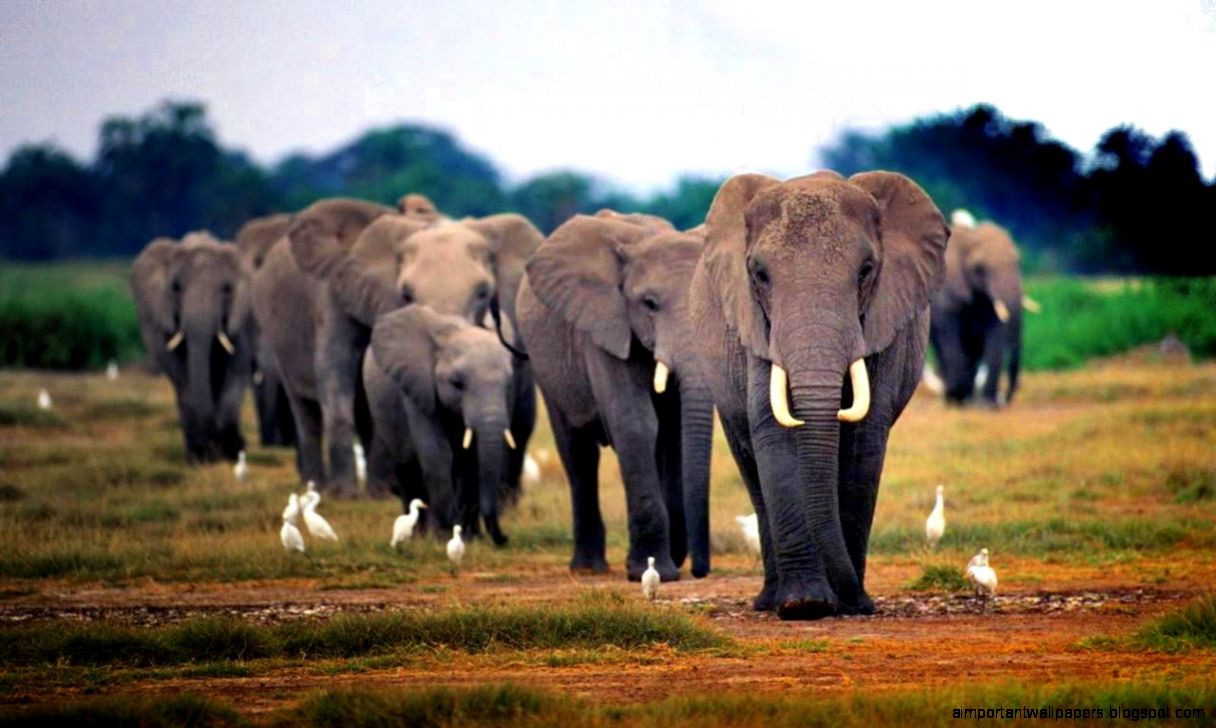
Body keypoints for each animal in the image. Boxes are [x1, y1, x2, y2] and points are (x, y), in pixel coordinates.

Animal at [132, 231, 255, 463]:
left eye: (227, 289)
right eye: (176, 287)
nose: (210, 450)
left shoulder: (244, 316)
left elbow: (237, 369)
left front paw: (231, 452)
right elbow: (180, 374)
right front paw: (199, 457)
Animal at [364, 305, 517, 544]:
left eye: (508, 384)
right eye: (457, 384)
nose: (504, 538)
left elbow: (472, 460)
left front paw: (469, 538)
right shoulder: (417, 386)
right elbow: (436, 454)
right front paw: (443, 536)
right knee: (407, 468)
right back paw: (418, 535)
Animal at [516, 213, 714, 581]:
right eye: (649, 304)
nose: (698, 571)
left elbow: (674, 429)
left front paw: (666, 564)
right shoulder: (605, 325)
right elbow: (636, 422)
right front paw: (652, 571)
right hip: (545, 366)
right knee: (577, 453)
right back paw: (587, 567)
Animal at [689, 170, 950, 619]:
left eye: (866, 271)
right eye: (759, 274)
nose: (860, 601)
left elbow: (864, 438)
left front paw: (849, 604)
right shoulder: (758, 329)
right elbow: (771, 427)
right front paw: (805, 605)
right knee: (750, 466)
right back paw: (769, 601)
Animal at [929, 218, 1023, 406]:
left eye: (1017, 262)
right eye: (980, 268)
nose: (1004, 400)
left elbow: (995, 332)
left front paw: (986, 405)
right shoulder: (948, 290)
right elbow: (949, 334)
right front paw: (957, 396)